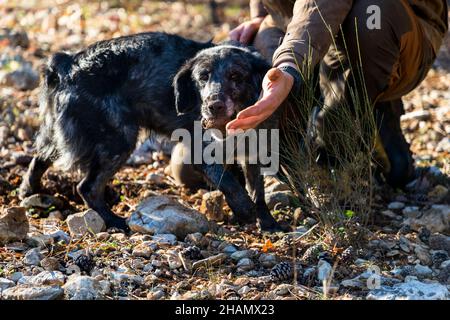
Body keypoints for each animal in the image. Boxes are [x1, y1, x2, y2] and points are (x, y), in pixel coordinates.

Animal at [20, 31, 282, 232]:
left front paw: (268, 223)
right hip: (119, 140)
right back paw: (115, 221)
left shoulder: (253, 152)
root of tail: (67, 63)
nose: (212, 105)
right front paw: (244, 209)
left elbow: (257, 191)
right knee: (87, 187)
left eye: (235, 76)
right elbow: (228, 181)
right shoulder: (202, 155)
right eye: (202, 77)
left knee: (40, 157)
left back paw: (29, 191)